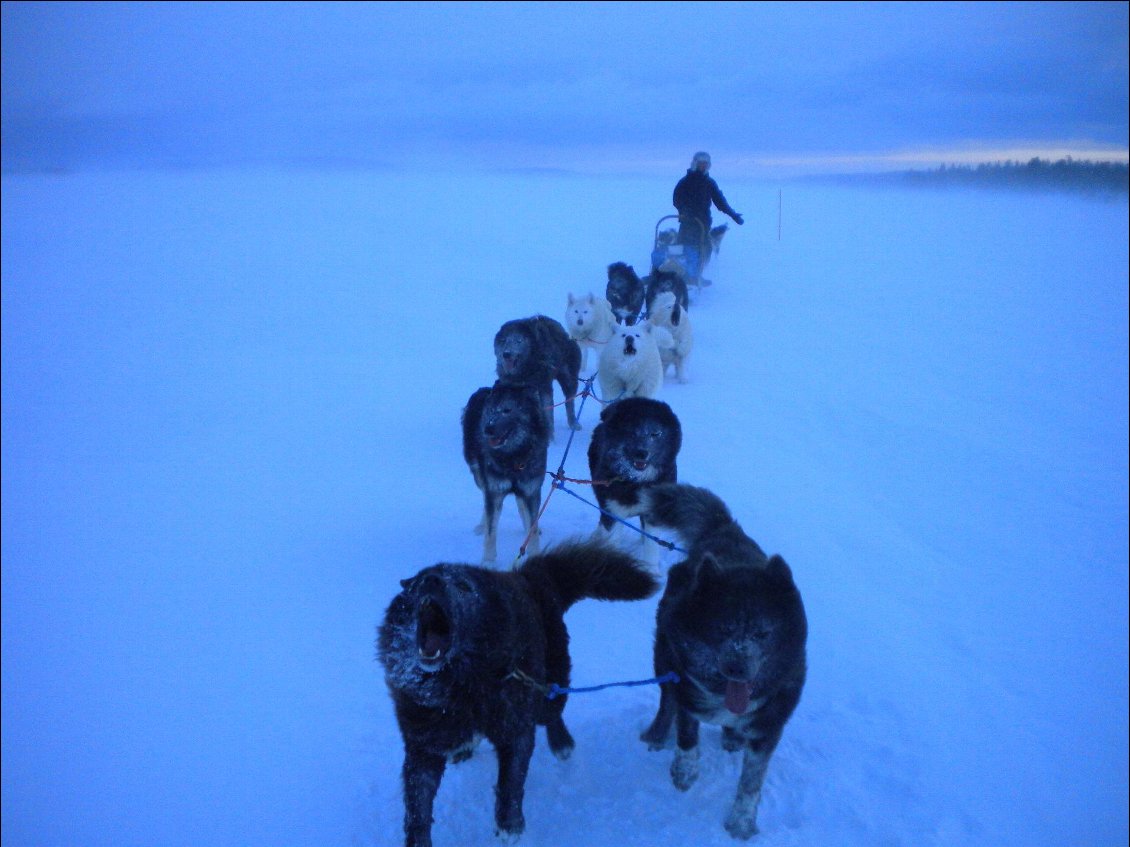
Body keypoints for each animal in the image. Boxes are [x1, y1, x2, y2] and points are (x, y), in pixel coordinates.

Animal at [379, 539, 659, 844]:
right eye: (418, 582)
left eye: (464, 587)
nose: (432, 581)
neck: (460, 684)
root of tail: (530, 576)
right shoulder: (422, 745)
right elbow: (417, 808)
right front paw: (417, 840)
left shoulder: (517, 731)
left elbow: (511, 781)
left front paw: (509, 823)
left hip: (549, 684)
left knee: (552, 709)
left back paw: (561, 743)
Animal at [632, 483, 809, 844]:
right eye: (723, 629)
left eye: (762, 632)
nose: (737, 669)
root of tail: (725, 531)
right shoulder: (685, 687)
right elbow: (687, 736)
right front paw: (684, 771)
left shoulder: (769, 728)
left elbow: (752, 782)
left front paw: (741, 822)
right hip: (663, 659)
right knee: (666, 703)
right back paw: (657, 734)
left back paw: (731, 737)